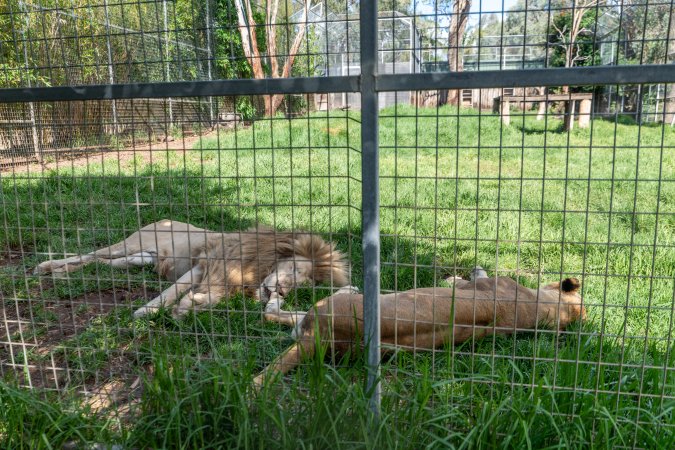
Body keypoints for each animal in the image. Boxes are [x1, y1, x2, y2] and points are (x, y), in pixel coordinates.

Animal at [34, 220, 349, 318]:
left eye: (303, 287)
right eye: (294, 270)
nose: (282, 291)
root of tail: (160, 220)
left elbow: (210, 297)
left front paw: (188, 307)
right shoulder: (203, 266)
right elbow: (170, 293)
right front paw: (143, 313)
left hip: (139, 259)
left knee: (100, 264)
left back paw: (63, 273)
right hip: (128, 245)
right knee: (90, 254)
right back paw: (47, 267)